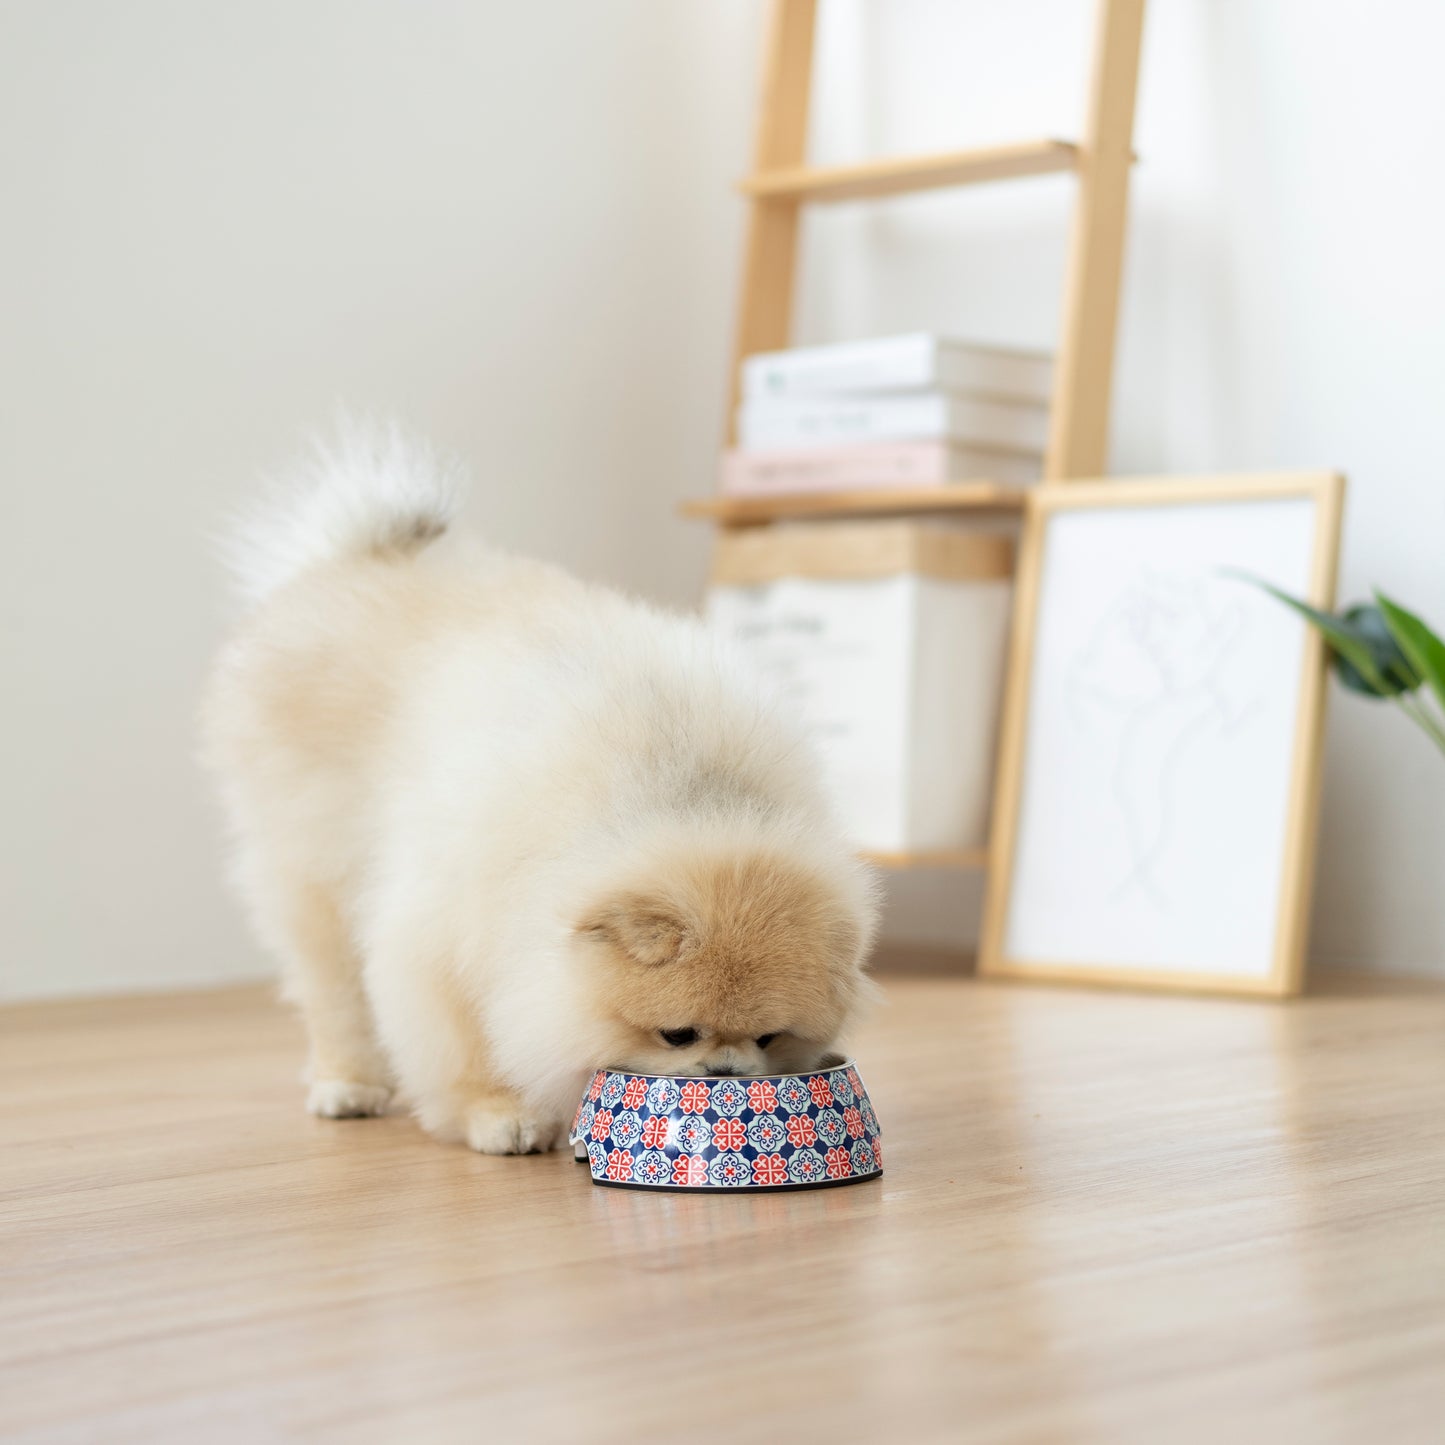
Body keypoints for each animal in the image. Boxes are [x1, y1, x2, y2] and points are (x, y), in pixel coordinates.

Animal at [200, 421, 878, 1156]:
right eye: (677, 1034)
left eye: (768, 1037)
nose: (725, 1072)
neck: (688, 792)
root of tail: (355, 552)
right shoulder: (448, 933)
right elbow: (467, 1042)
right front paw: (501, 1115)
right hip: (312, 865)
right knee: (334, 993)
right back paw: (346, 1086)